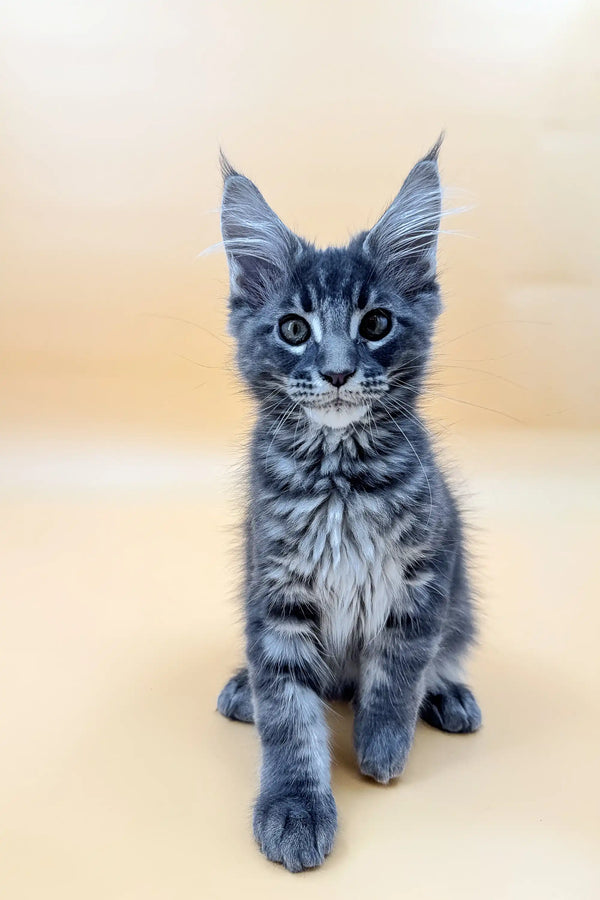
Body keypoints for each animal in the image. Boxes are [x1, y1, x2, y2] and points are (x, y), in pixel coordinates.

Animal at [213, 139, 480, 872]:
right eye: (294, 329)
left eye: (377, 323)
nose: (335, 371)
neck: (340, 480)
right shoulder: (274, 591)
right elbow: (287, 713)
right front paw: (294, 807)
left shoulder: (427, 570)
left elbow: (400, 665)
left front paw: (381, 744)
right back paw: (242, 690)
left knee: (444, 652)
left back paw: (449, 696)